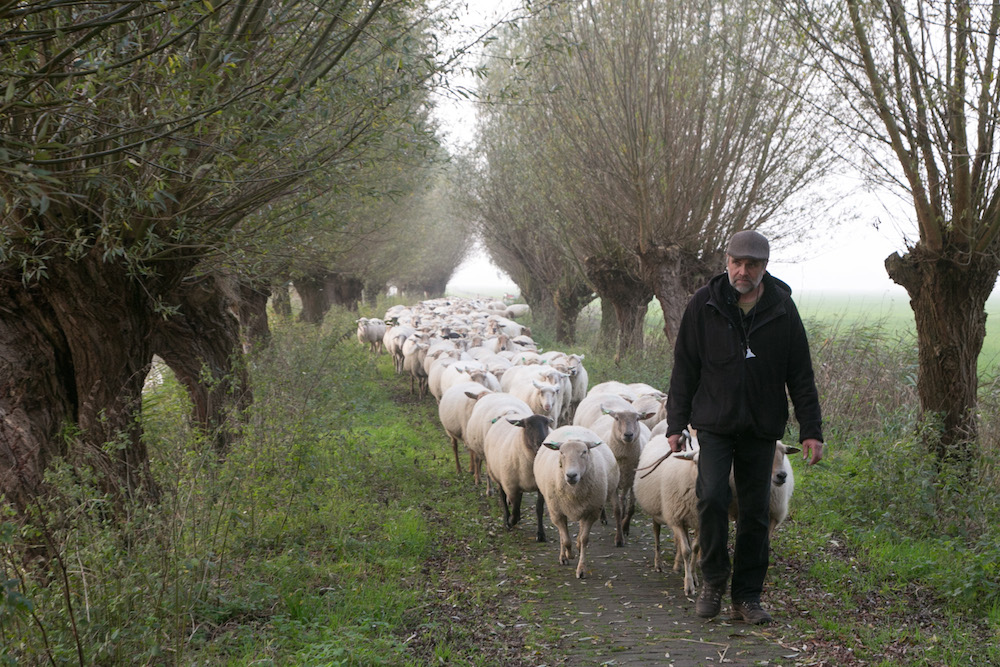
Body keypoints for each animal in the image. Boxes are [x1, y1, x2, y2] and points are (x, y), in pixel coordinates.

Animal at [484, 412, 556, 544]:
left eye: (547, 424)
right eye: (528, 425)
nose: (541, 442)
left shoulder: (540, 488)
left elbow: (539, 509)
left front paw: (540, 534)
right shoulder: (511, 486)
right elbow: (516, 510)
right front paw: (510, 521)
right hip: (498, 476)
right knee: (503, 497)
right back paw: (507, 518)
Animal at [540, 428, 616, 580]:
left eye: (584, 452)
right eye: (561, 452)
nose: (571, 475)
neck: (573, 492)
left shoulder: (591, 512)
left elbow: (584, 539)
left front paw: (581, 569)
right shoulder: (557, 512)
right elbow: (566, 539)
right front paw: (569, 555)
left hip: (585, 508)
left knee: (579, 532)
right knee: (562, 534)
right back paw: (563, 557)